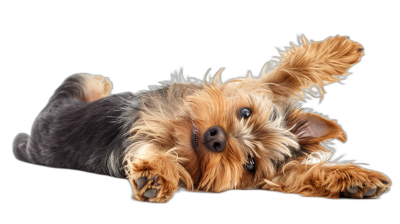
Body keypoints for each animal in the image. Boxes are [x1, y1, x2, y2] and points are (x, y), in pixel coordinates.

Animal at [11, 35, 390, 203]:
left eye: (250, 163)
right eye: (244, 112)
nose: (216, 137)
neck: (179, 133)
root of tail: (33, 137)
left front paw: (352, 179)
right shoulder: (252, 86)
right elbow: (282, 76)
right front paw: (340, 51)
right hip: (77, 84)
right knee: (92, 79)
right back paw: (104, 84)